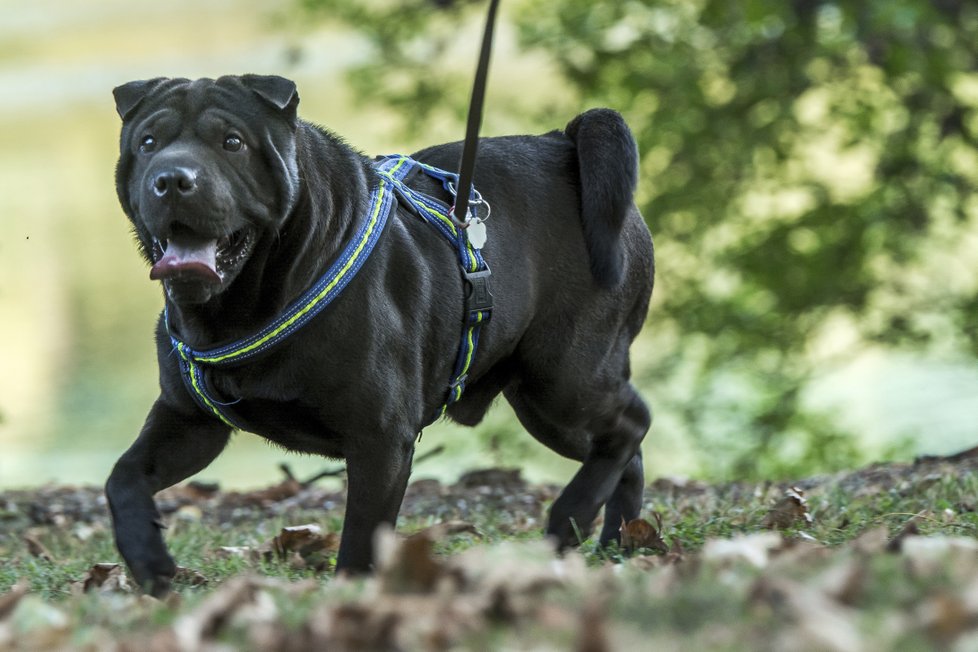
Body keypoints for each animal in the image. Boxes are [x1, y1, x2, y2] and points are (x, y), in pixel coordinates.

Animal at [105, 75, 656, 596]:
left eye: (232, 142)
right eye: (148, 142)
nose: (172, 178)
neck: (241, 308)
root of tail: (562, 143)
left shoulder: (381, 439)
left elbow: (361, 535)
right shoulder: (189, 422)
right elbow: (124, 478)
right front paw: (150, 564)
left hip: (563, 381)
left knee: (632, 423)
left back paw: (569, 519)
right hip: (547, 405)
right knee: (624, 451)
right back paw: (621, 541)